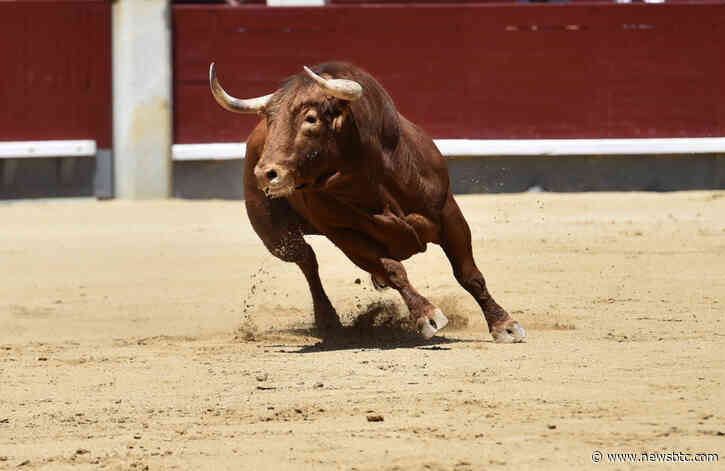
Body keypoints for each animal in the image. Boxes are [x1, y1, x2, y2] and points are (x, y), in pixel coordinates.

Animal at [209, 61, 525, 342]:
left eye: (311, 119)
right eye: (270, 120)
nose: (266, 174)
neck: (372, 178)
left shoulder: (449, 214)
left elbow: (468, 274)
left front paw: (504, 325)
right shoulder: (346, 237)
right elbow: (394, 269)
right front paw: (427, 315)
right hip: (278, 238)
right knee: (307, 260)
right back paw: (329, 321)